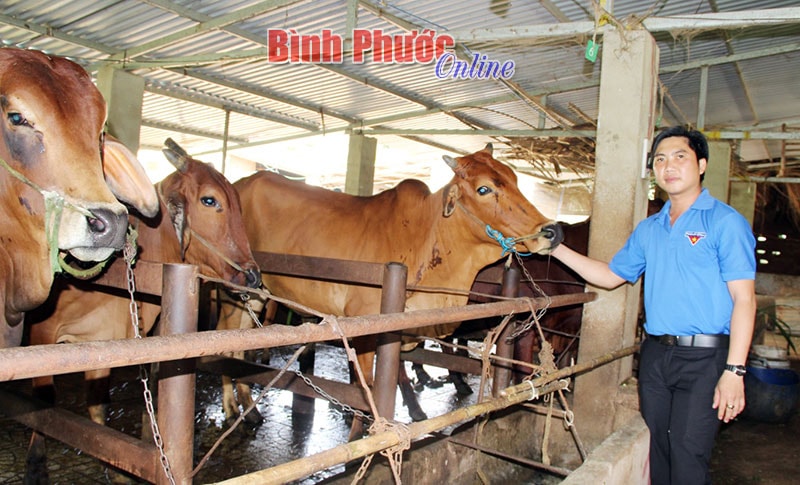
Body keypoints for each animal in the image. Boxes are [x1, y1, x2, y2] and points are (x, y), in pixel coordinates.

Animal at [25, 138, 260, 482]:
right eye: (209, 200)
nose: (253, 275)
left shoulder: (108, 341)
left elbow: (100, 410)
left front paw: (122, 468)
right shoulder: (41, 334)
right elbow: (41, 407)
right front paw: (35, 467)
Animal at [217, 145, 564, 428]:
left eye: (515, 179)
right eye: (484, 188)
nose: (551, 231)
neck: (425, 234)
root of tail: (239, 183)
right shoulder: (367, 326)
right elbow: (369, 387)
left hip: (257, 293)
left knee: (240, 340)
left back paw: (248, 408)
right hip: (233, 288)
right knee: (225, 334)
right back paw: (233, 408)